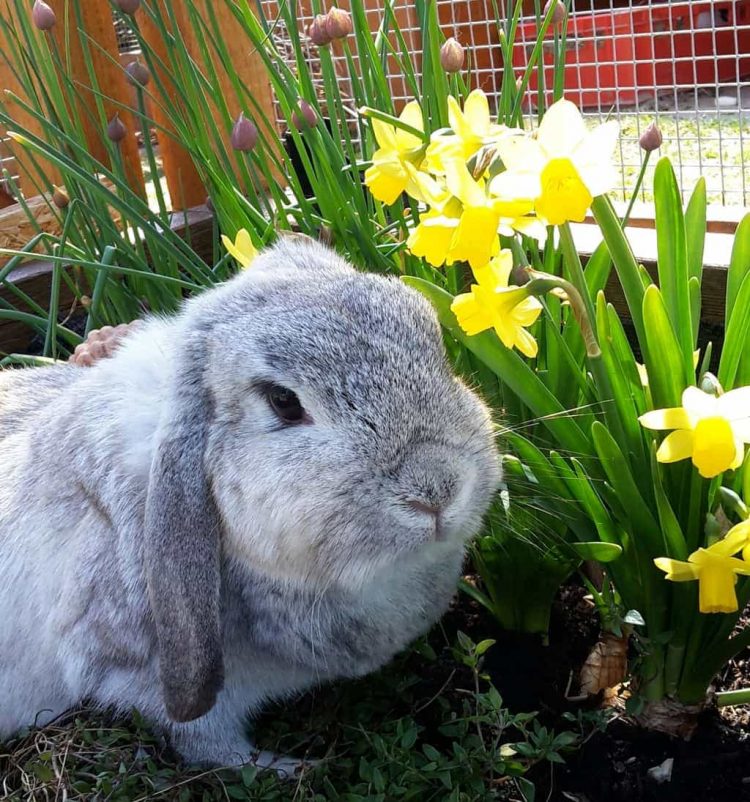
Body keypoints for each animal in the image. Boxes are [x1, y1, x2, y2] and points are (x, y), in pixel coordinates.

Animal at [0, 237, 501, 771]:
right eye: (283, 402)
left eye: (434, 342)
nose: (438, 490)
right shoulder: (145, 682)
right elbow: (211, 745)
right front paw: (288, 768)